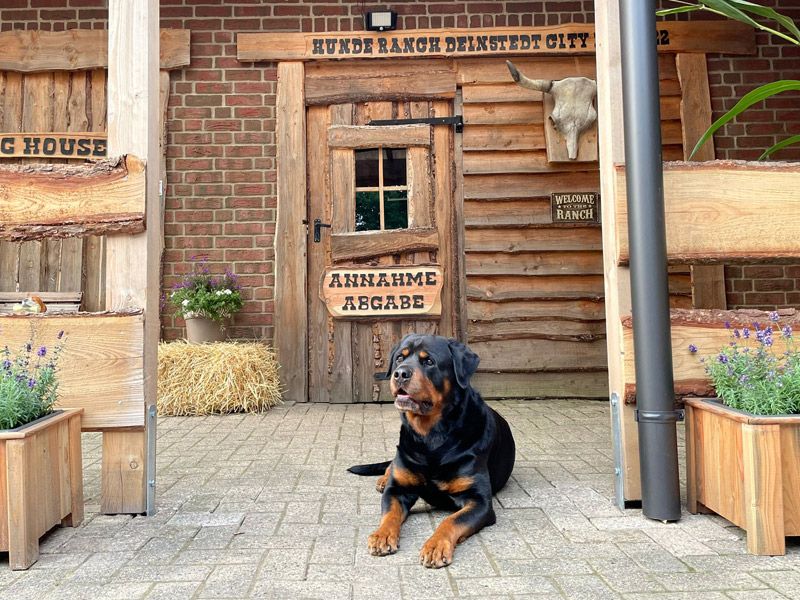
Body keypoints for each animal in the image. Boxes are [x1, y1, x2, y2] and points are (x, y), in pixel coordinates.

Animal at [346, 336, 516, 568]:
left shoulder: (479, 500)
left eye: (429, 362)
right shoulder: (397, 490)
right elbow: (389, 513)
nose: (400, 373)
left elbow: (452, 520)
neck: (431, 437)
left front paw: (436, 545)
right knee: (391, 465)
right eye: (399, 358)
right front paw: (382, 534)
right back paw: (383, 479)